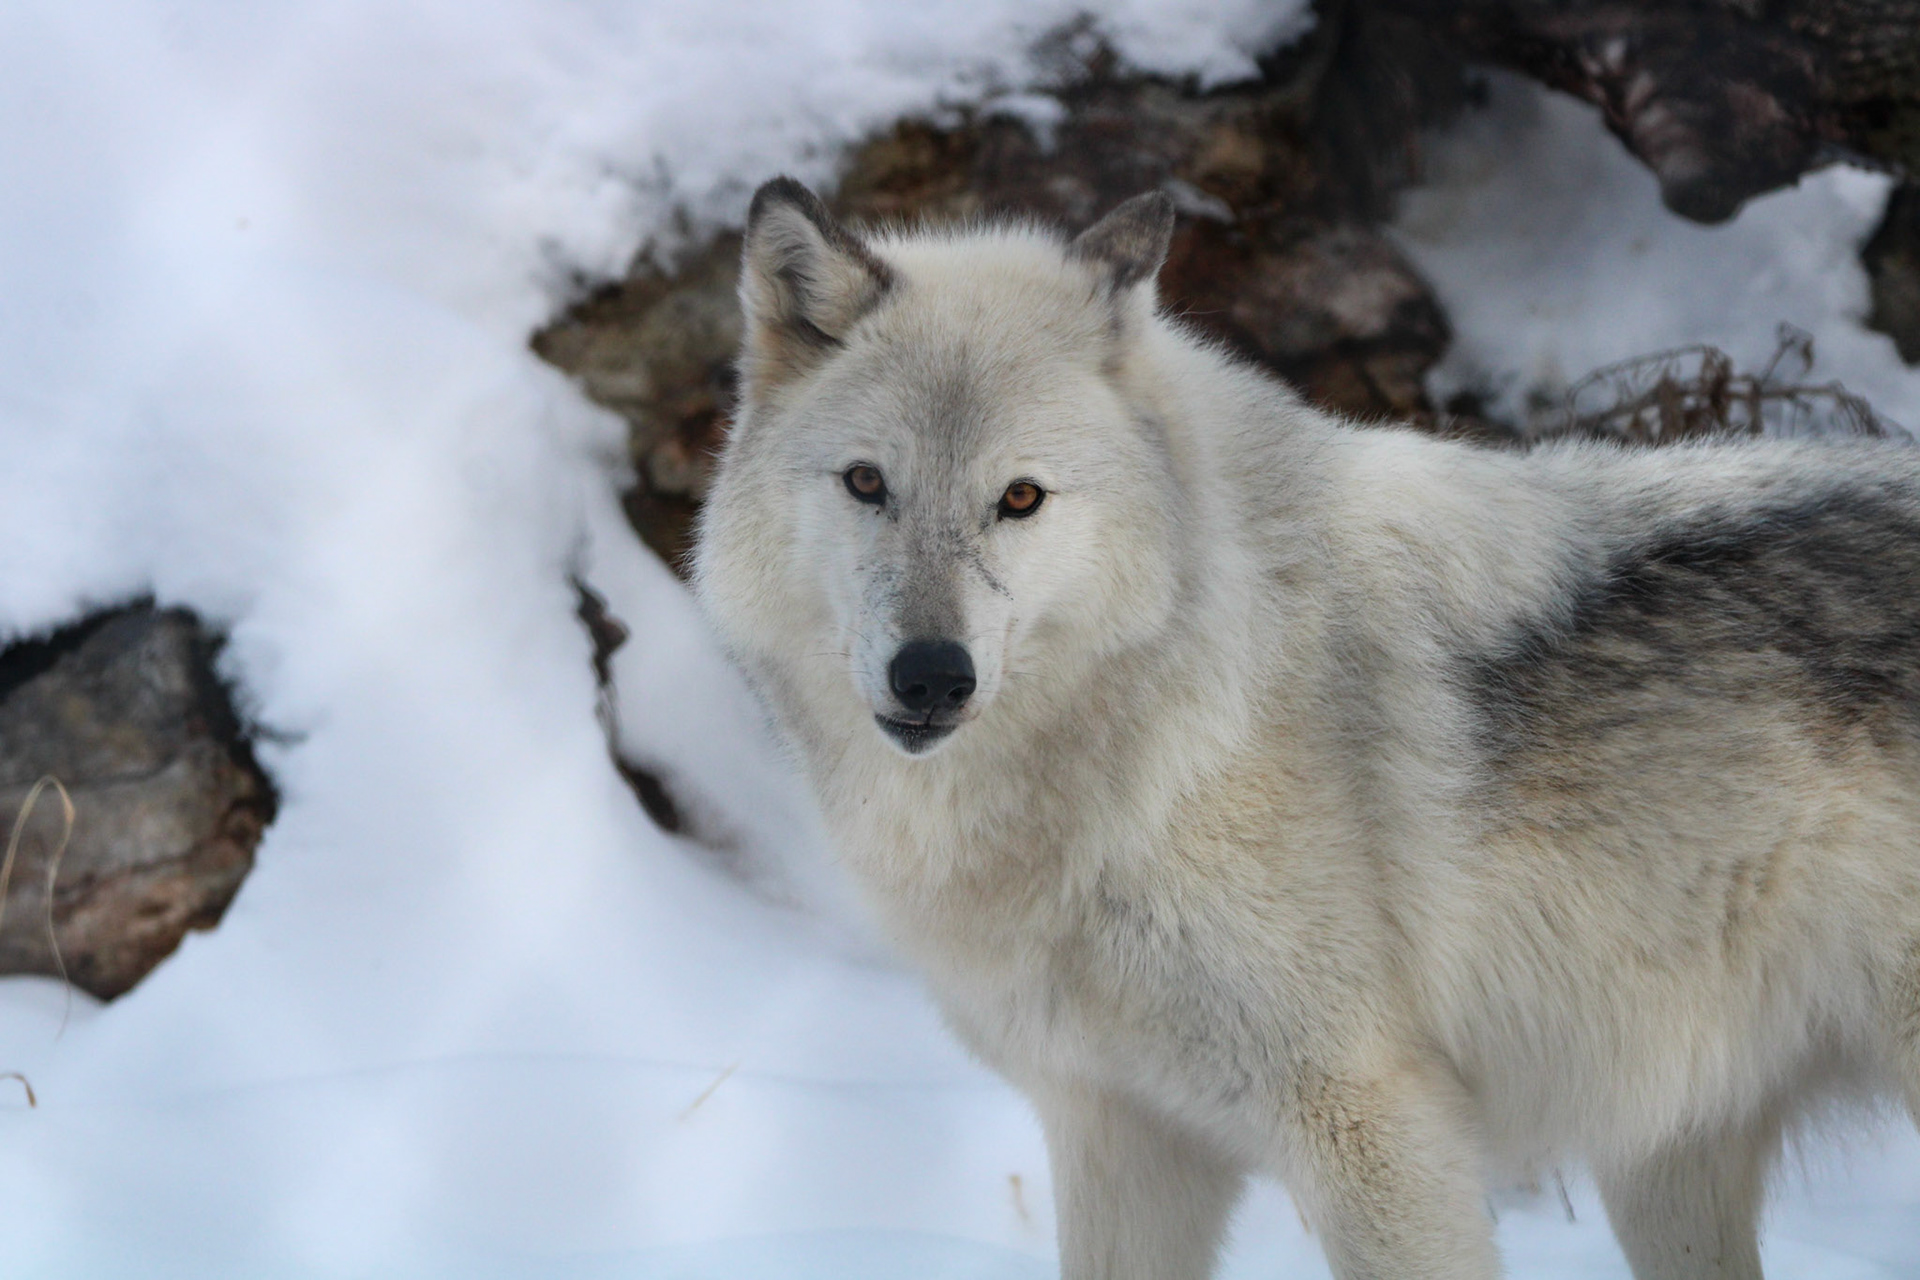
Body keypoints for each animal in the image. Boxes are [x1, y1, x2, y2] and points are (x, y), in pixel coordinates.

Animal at [691, 176, 1920, 1279]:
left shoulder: (1374, 1127)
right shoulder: (1122, 1134)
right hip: (1664, 1168)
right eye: (866, 483)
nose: (932, 676)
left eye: (1021, 498)